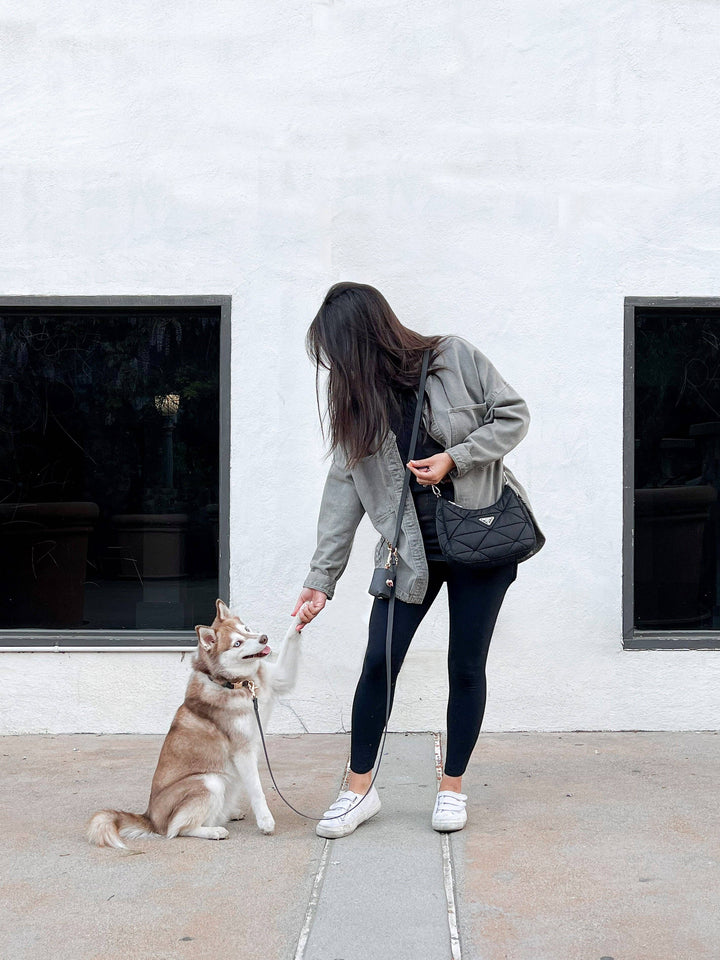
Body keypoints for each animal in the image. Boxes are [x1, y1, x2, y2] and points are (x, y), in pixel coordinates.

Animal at [87, 600, 300, 848]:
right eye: (237, 643)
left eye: (247, 629)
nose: (264, 638)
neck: (238, 683)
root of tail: (150, 818)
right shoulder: (243, 751)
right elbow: (257, 789)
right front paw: (265, 821)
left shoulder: (280, 677)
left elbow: (291, 636)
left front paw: (303, 613)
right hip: (209, 781)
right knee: (176, 829)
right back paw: (213, 831)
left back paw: (228, 814)